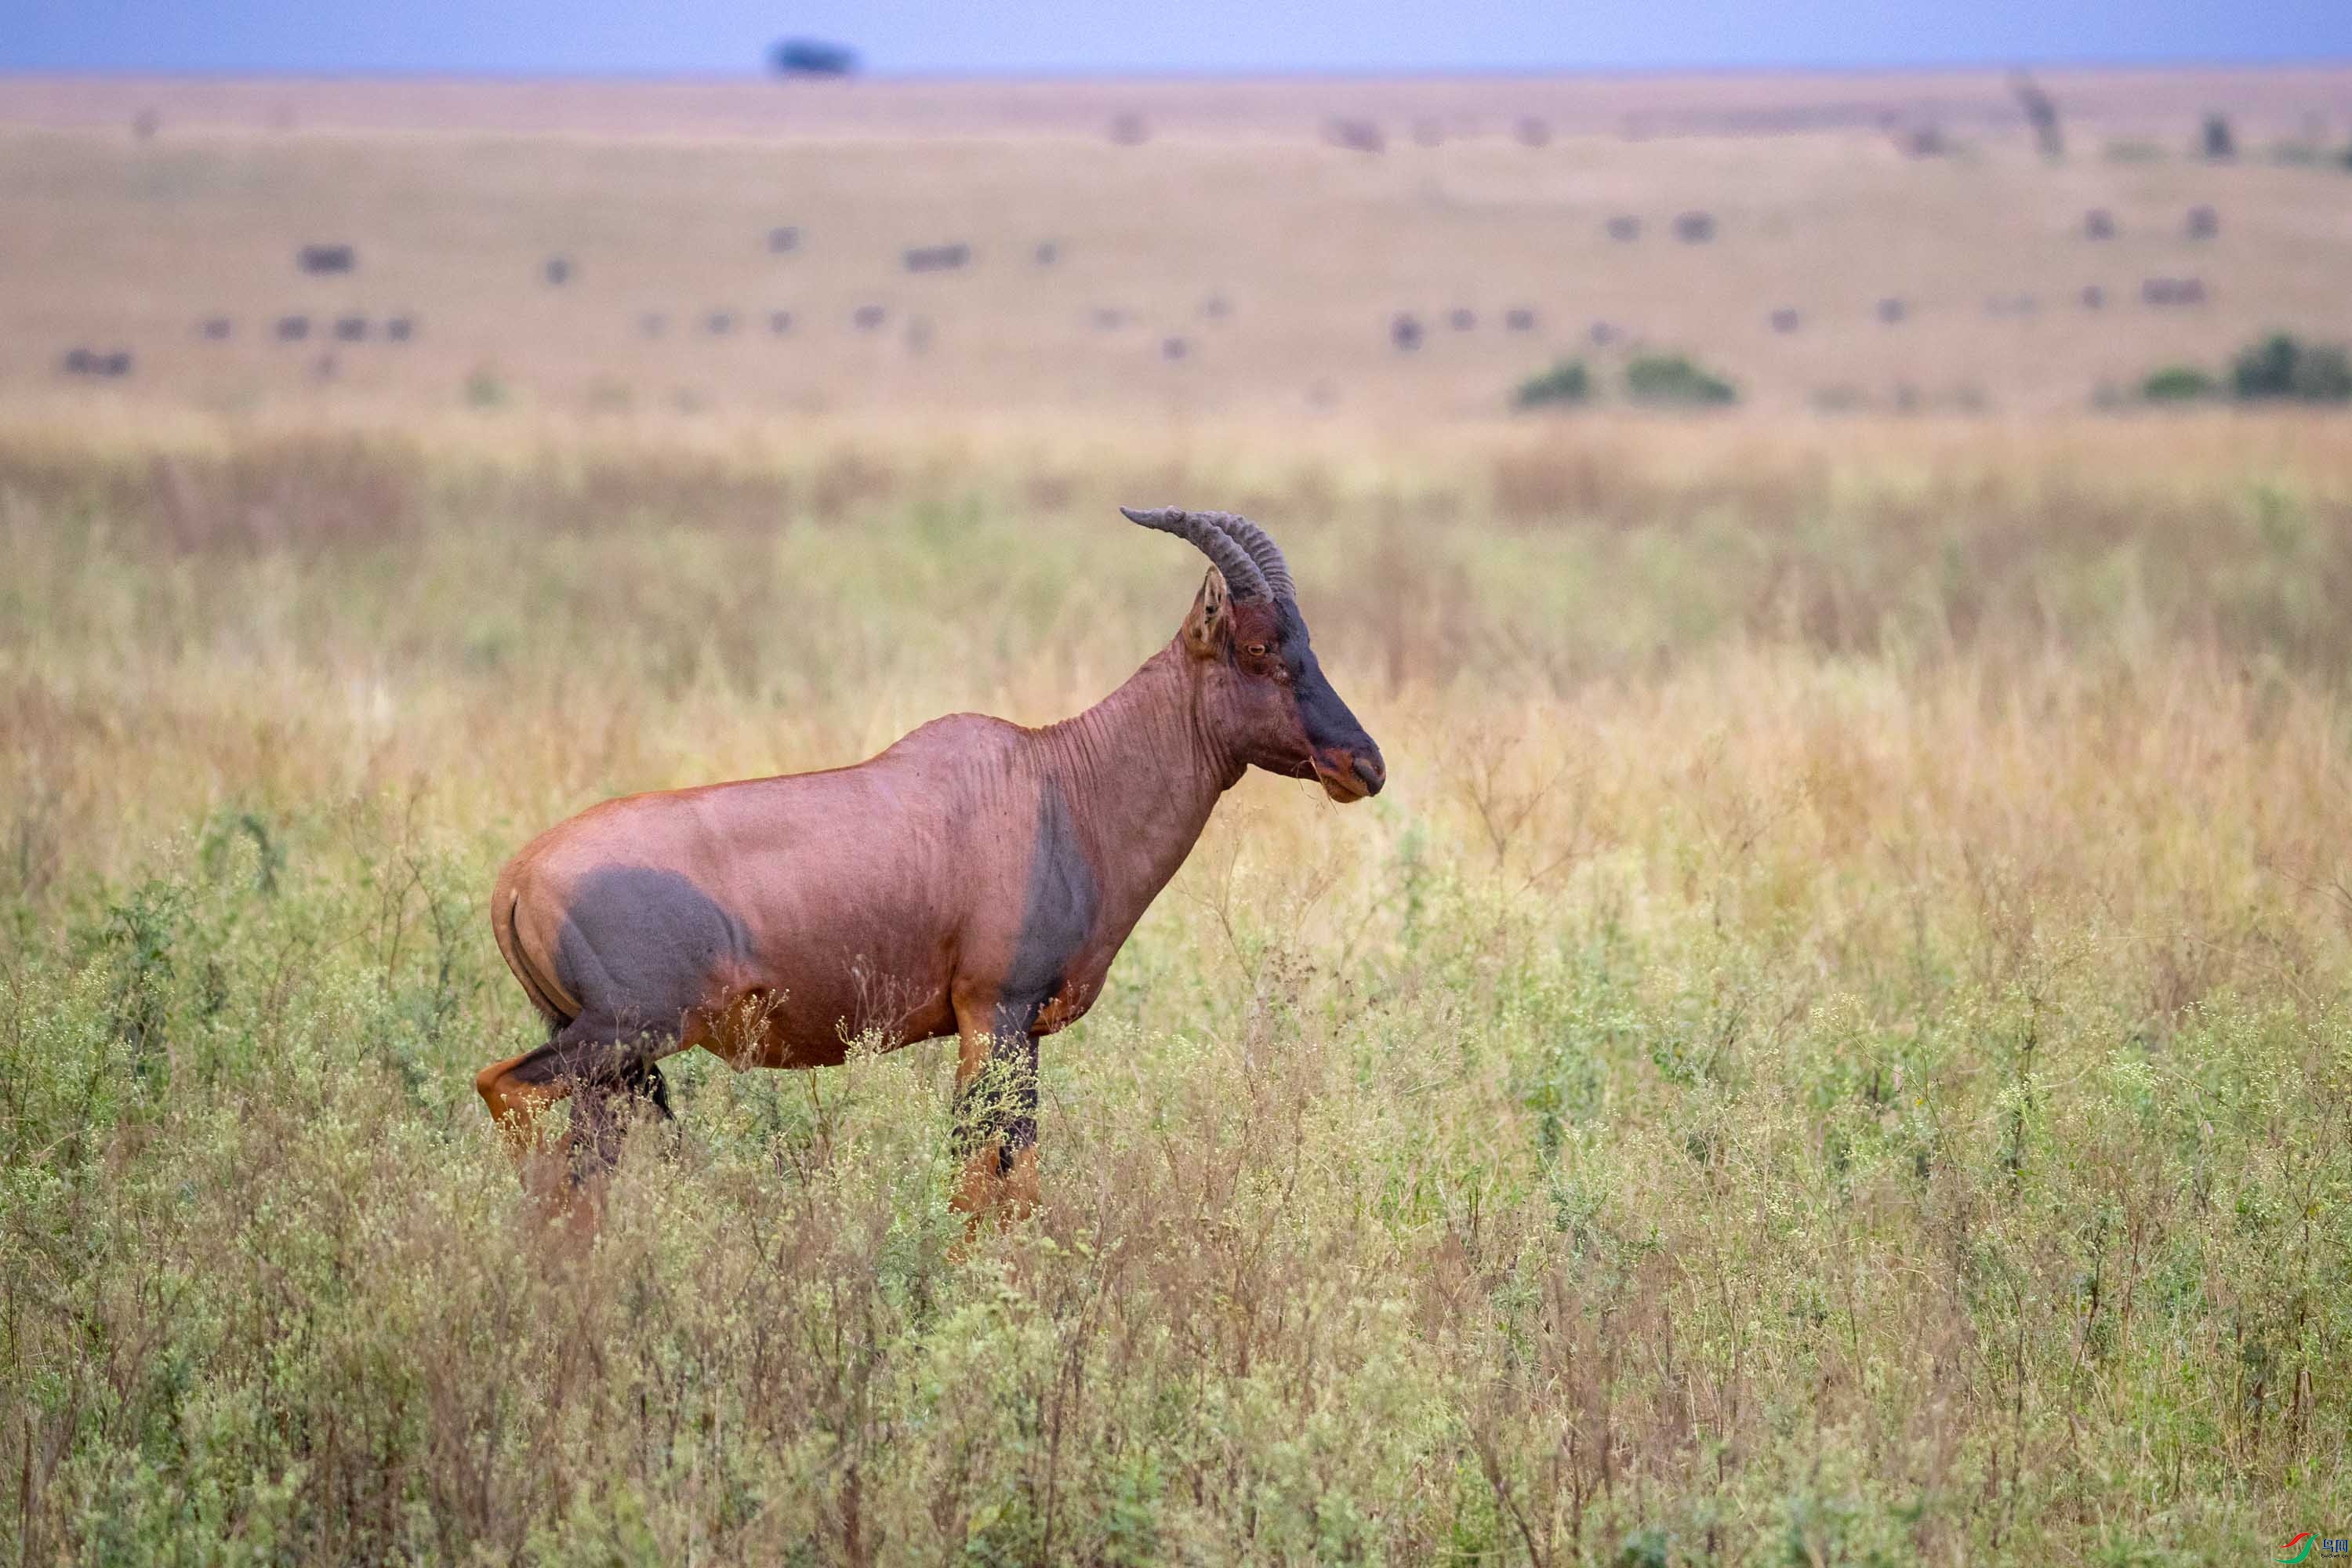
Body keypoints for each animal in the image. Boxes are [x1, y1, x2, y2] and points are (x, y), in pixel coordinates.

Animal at [485, 510, 1383, 1222]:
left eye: (1308, 641)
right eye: (1260, 647)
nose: (1363, 764)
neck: (1058, 782)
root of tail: (517, 877)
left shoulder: (1019, 1027)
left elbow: (1009, 1168)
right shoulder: (994, 1011)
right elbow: (986, 1168)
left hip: (614, 1061)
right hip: (623, 1032)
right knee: (505, 1090)